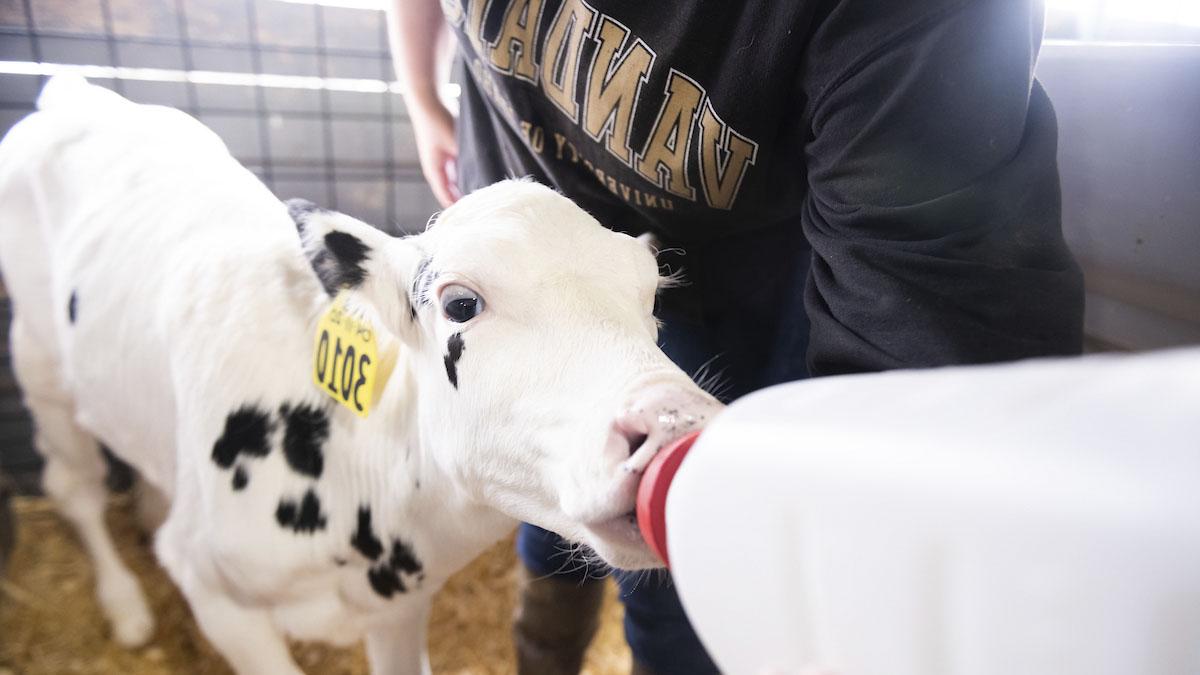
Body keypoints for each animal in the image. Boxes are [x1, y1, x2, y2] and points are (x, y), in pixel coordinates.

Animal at [0, 74, 720, 672]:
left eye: (650, 300)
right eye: (461, 303)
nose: (677, 428)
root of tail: (73, 92)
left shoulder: (401, 607)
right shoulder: (215, 590)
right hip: (38, 357)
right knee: (73, 486)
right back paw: (125, 603)